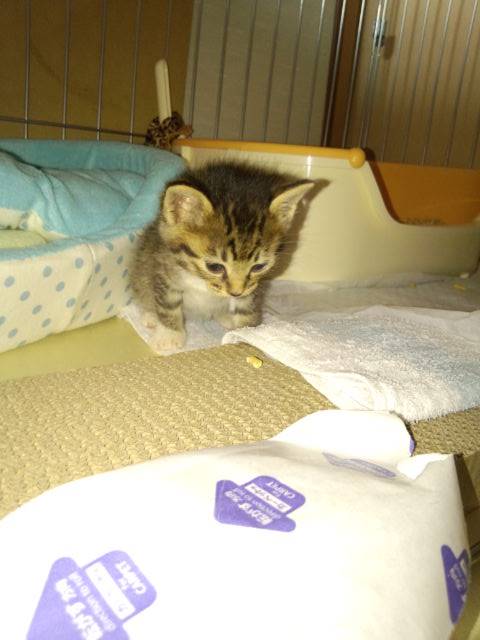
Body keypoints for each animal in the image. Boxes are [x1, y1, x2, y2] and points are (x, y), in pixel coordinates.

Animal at [131, 160, 315, 353]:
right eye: (215, 267)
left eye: (258, 267)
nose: (235, 293)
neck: (201, 280)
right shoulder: (163, 267)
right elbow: (168, 302)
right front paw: (169, 335)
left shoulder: (253, 287)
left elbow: (248, 306)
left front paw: (247, 334)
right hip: (142, 263)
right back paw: (150, 315)